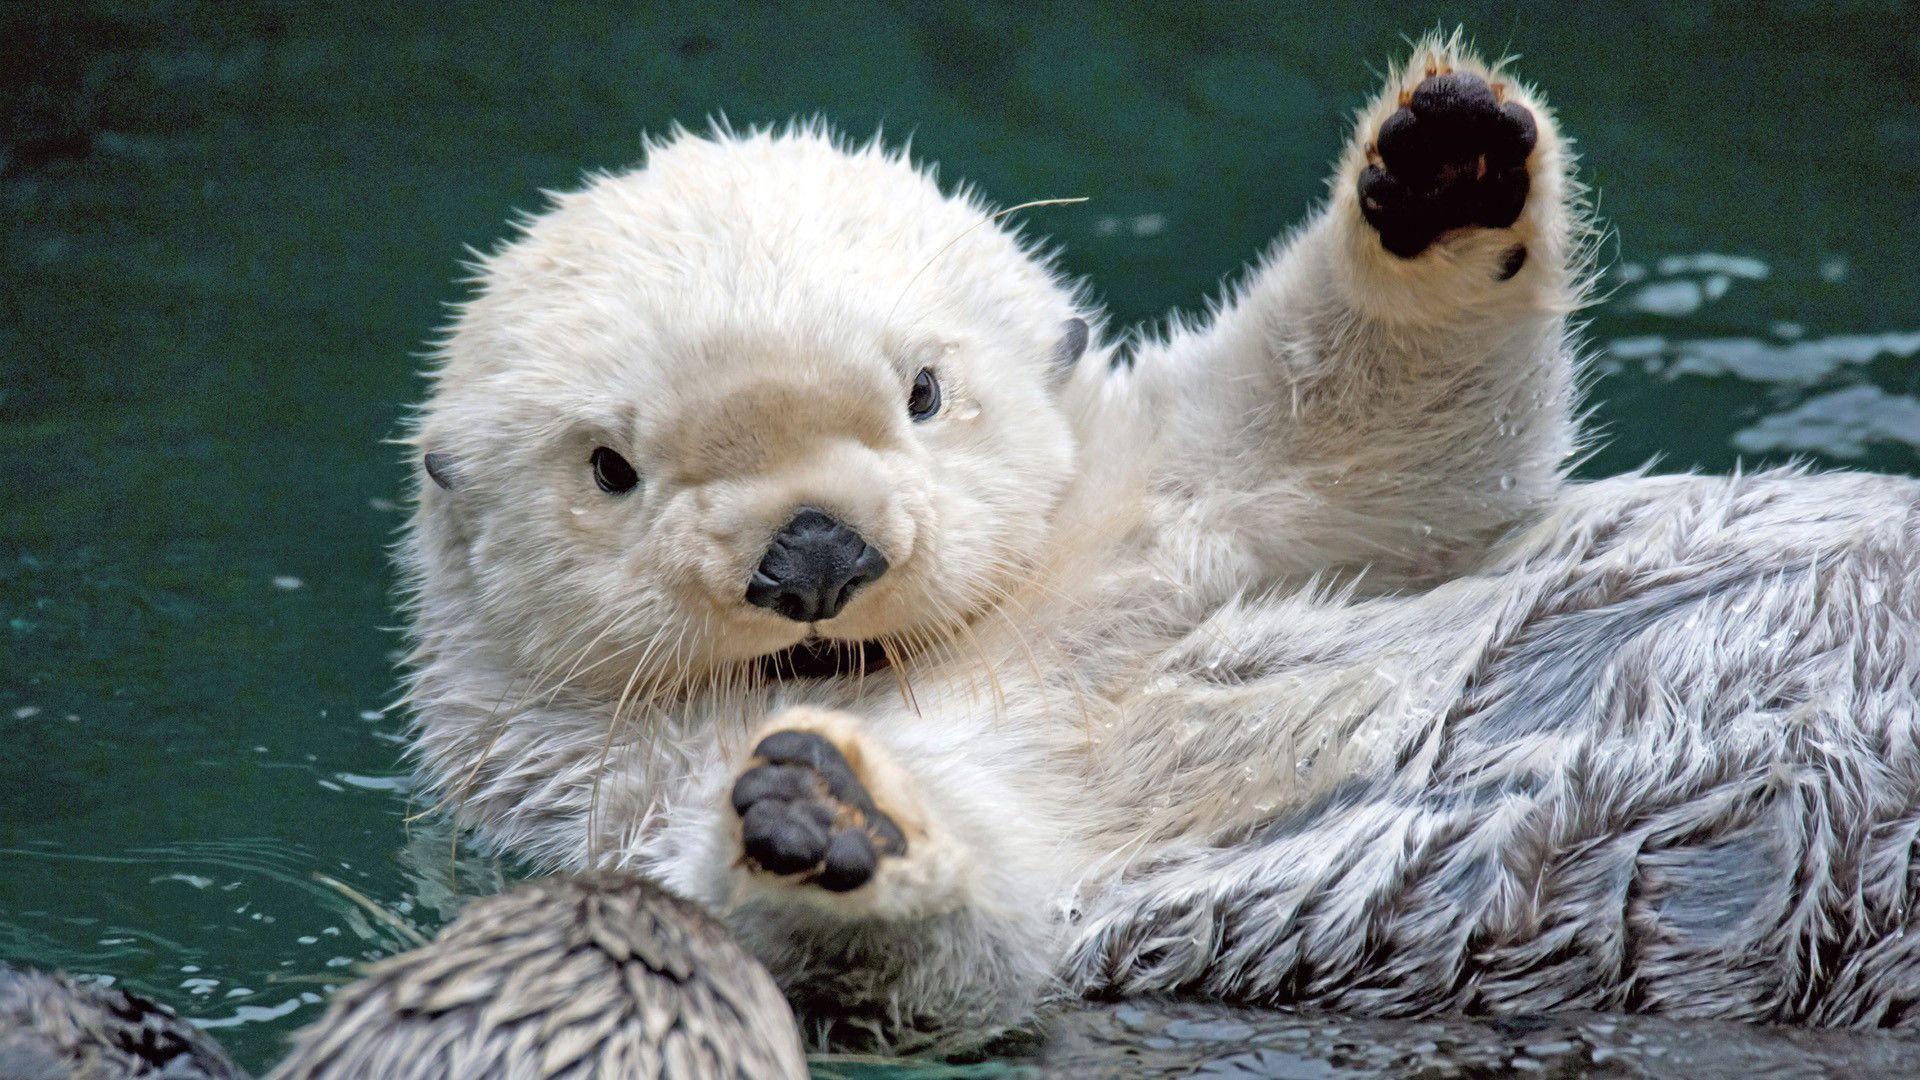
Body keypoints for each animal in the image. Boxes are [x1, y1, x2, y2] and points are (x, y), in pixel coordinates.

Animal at [402, 33, 1920, 1045]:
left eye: (924, 393)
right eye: (612, 471)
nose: (816, 557)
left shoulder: (1178, 509)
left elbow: (1376, 432)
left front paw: (1442, 168)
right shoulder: (613, 801)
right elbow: (950, 941)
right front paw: (829, 817)